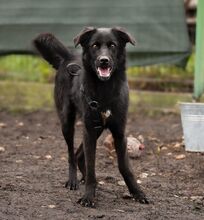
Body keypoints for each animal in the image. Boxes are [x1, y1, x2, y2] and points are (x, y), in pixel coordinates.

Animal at [33, 26, 148, 207]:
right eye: (94, 45)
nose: (104, 60)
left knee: (79, 155)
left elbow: (124, 166)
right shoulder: (89, 129)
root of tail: (67, 57)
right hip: (68, 123)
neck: (105, 89)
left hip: (96, 129)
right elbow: (91, 167)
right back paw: (73, 180)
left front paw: (137, 192)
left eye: (113, 45)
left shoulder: (118, 132)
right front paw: (88, 196)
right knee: (71, 154)